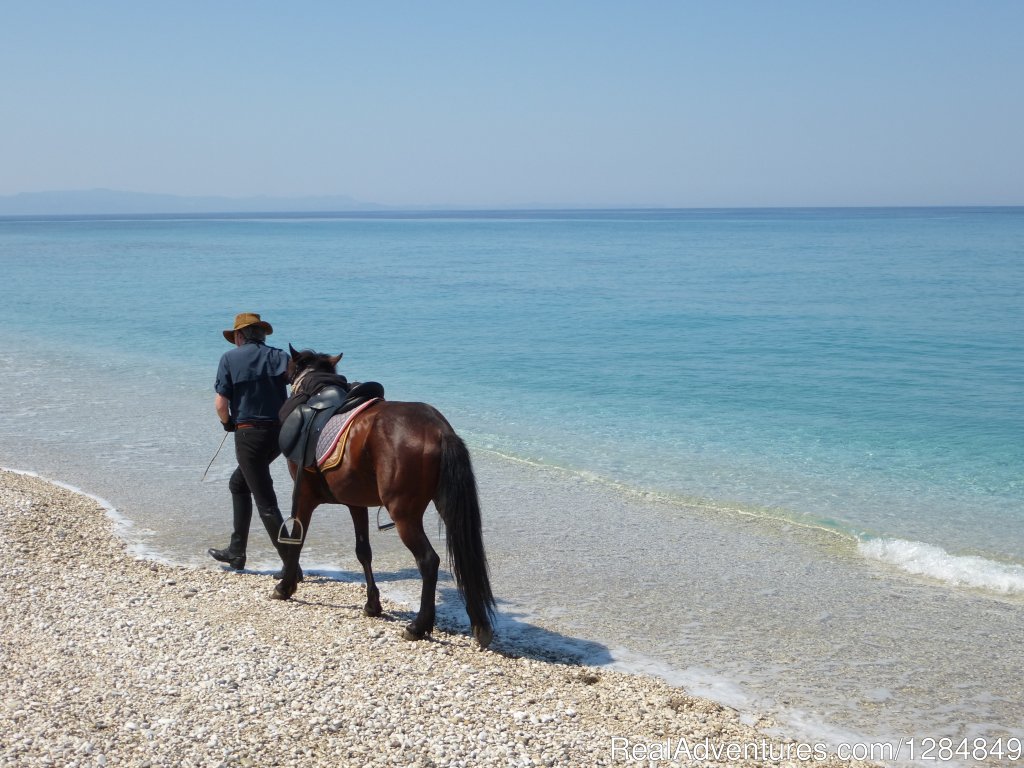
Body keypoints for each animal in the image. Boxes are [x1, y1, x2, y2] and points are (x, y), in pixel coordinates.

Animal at [272, 348, 495, 651]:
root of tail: (439, 430)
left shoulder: (305, 495)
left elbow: (296, 538)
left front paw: (286, 586)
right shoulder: (355, 503)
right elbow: (363, 551)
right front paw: (372, 604)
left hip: (404, 516)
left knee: (429, 561)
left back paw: (418, 626)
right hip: (447, 507)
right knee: (466, 558)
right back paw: (480, 625)